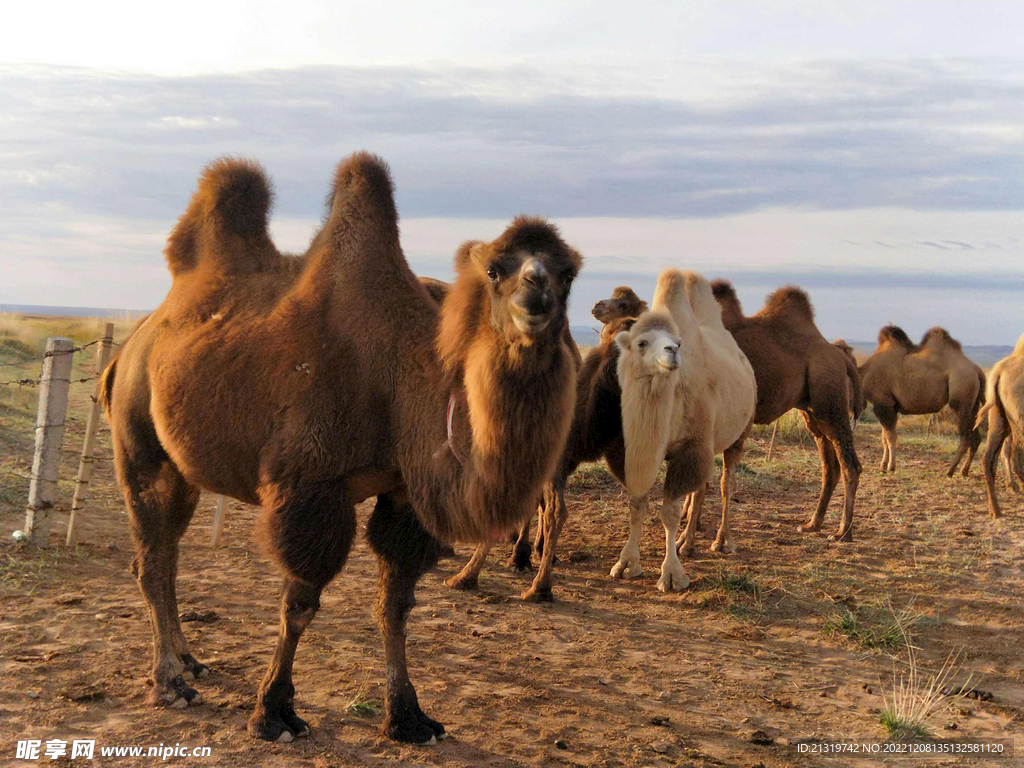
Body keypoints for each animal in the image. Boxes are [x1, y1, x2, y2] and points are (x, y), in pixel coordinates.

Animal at [103, 154, 585, 745]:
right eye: (496, 270)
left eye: (567, 272)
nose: (536, 291)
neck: (399, 380)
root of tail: (130, 345)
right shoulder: (310, 487)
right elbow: (299, 603)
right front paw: (274, 712)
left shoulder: (404, 495)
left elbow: (395, 605)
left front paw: (407, 716)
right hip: (139, 443)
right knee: (151, 559)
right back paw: (170, 682)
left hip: (183, 466)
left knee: (167, 554)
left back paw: (190, 661)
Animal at [708, 280, 860, 540]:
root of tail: (842, 358)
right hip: (813, 413)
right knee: (830, 468)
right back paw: (812, 524)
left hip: (830, 399)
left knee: (850, 465)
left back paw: (842, 532)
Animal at [860, 325, 987, 481]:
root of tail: (976, 369)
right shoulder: (889, 406)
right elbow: (884, 436)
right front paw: (883, 466)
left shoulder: (883, 403)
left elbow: (890, 436)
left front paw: (890, 467)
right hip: (973, 404)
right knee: (976, 438)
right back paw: (963, 471)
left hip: (961, 399)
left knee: (965, 438)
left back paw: (949, 471)